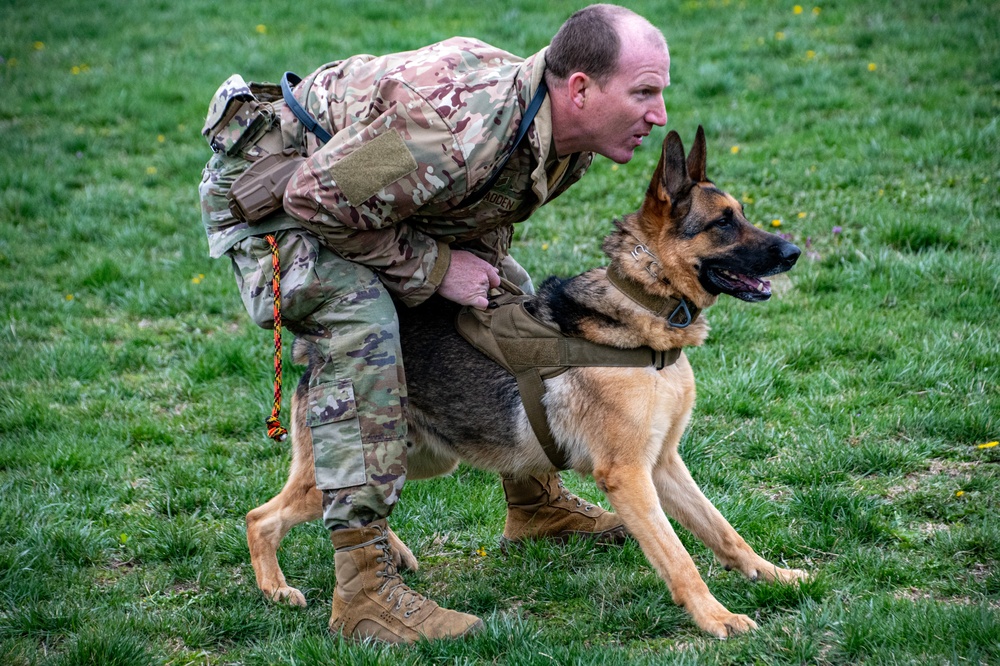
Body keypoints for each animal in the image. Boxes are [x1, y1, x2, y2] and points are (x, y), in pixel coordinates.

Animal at [246, 127, 808, 636]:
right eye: (723, 224)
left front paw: (771, 574)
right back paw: (277, 589)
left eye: (742, 215)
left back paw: (394, 554)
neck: (643, 307)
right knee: (264, 518)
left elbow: (723, 531)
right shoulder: (629, 476)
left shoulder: (664, 463)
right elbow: (678, 557)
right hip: (362, 462)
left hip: (419, 459)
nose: (793, 253)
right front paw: (716, 618)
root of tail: (313, 352)